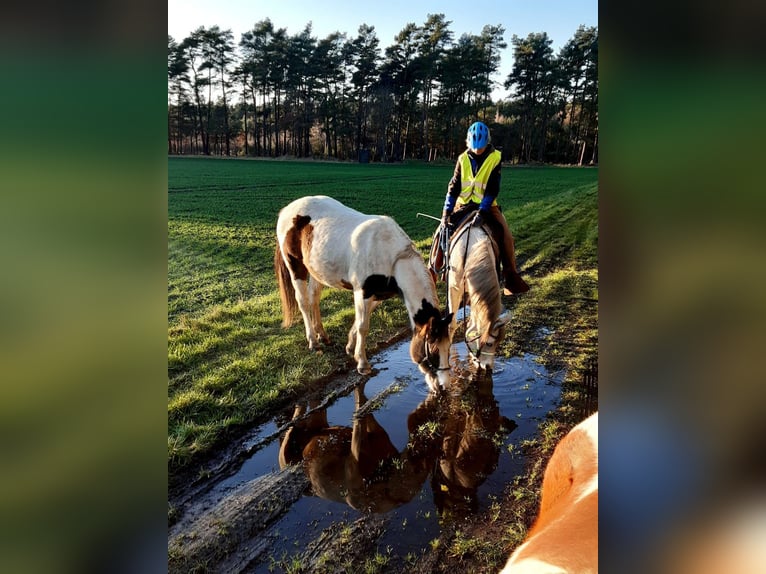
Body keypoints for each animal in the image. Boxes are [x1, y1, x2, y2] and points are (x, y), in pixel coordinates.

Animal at [276, 196, 452, 390]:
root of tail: (287, 210)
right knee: (303, 302)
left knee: (314, 298)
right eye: (433, 350)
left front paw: (350, 346)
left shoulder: (378, 295)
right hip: (296, 266)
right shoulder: (362, 292)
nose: (443, 387)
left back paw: (322, 335)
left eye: (448, 348)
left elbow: (360, 321)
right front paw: (362, 363)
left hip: (316, 271)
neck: (391, 256)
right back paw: (313, 342)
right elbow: (363, 326)